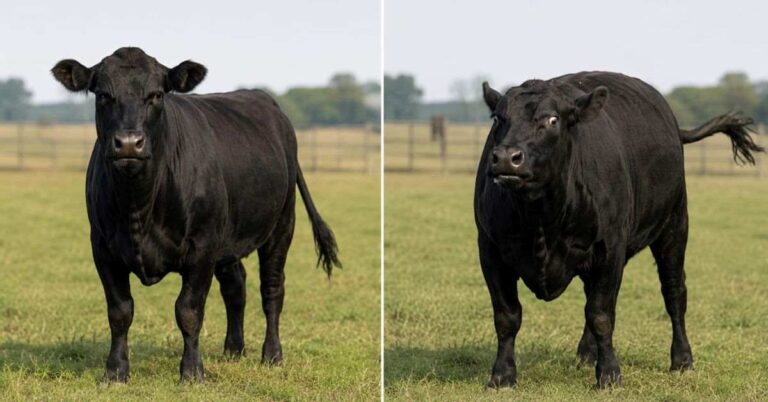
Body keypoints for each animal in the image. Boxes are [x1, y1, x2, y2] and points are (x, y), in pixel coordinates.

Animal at [50, 47, 341, 383]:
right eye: (102, 95)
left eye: (157, 95)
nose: (129, 144)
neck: (139, 206)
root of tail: (264, 99)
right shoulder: (103, 248)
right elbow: (120, 311)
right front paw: (115, 372)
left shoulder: (202, 248)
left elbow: (188, 311)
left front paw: (191, 371)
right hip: (229, 238)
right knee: (235, 286)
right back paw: (233, 350)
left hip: (282, 224)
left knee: (272, 288)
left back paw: (272, 354)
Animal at [474, 71, 763, 388]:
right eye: (498, 118)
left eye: (552, 120)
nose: (506, 157)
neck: (541, 219)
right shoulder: (490, 251)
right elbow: (507, 316)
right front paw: (502, 376)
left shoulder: (609, 249)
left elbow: (601, 314)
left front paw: (610, 374)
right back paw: (587, 354)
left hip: (674, 225)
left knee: (674, 291)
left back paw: (682, 359)